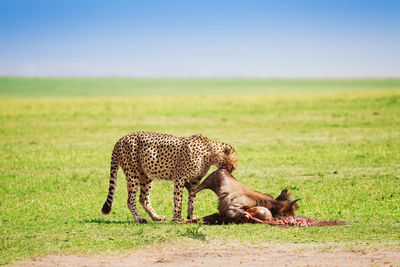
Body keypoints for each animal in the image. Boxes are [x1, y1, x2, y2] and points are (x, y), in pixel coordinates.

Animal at [101, 131, 238, 224]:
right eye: (235, 159)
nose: (236, 166)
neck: (210, 152)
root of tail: (122, 138)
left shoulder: (195, 180)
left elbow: (192, 200)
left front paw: (191, 217)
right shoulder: (180, 177)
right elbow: (178, 200)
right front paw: (177, 218)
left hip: (146, 176)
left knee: (143, 198)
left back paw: (156, 217)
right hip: (132, 174)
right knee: (131, 200)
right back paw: (139, 218)